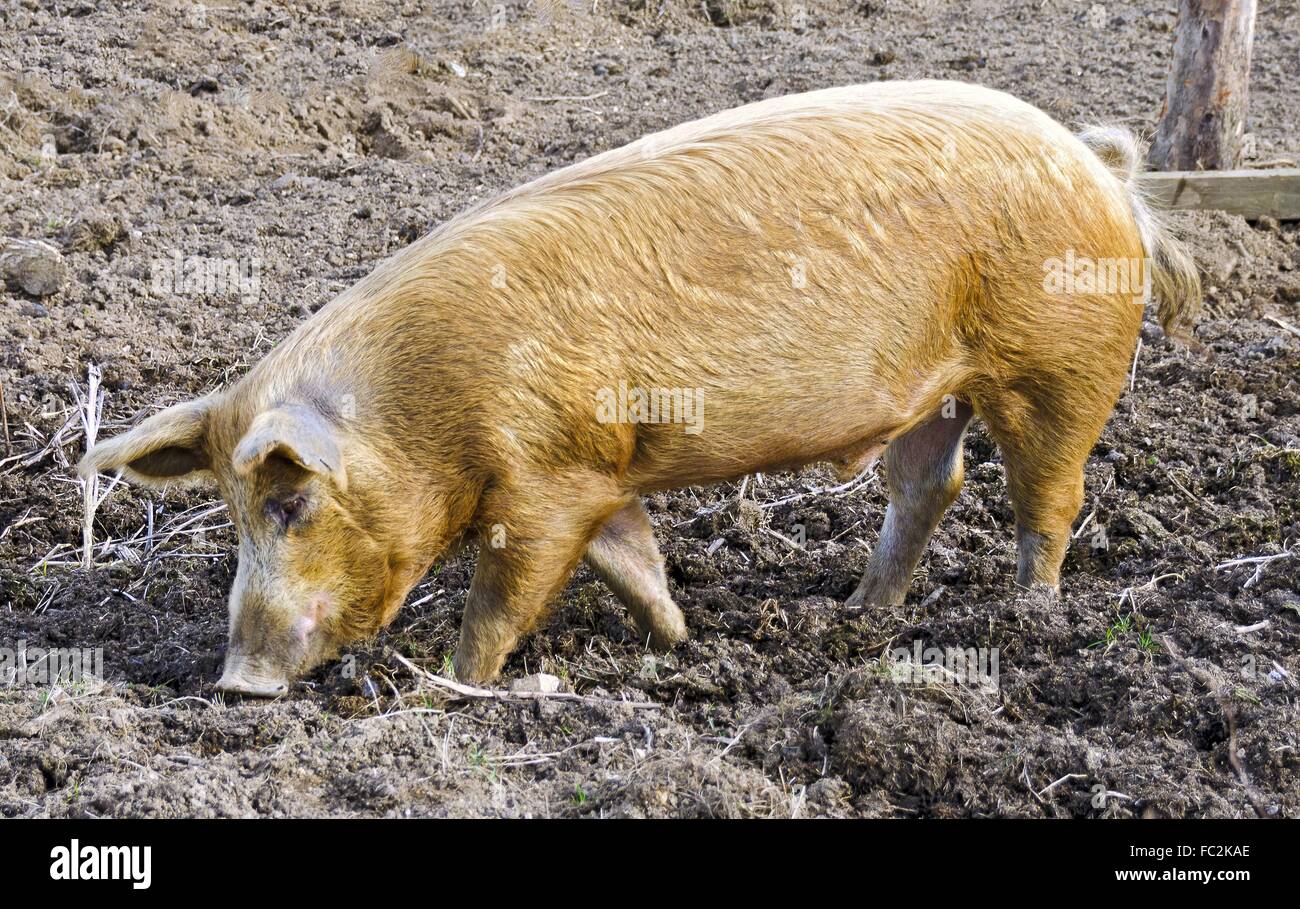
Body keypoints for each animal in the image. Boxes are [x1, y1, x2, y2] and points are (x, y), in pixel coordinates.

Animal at [81, 83, 1196, 697]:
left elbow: (505, 597)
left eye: (291, 504)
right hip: (938, 393)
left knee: (1048, 494)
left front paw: (453, 687)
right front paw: (679, 644)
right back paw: (856, 614)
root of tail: (1099, 165)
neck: (423, 412)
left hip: (1061, 366)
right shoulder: (601, 475)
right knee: (931, 485)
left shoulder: (545, 482)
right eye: (233, 511)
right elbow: (633, 561)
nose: (238, 684)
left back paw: (1031, 614)